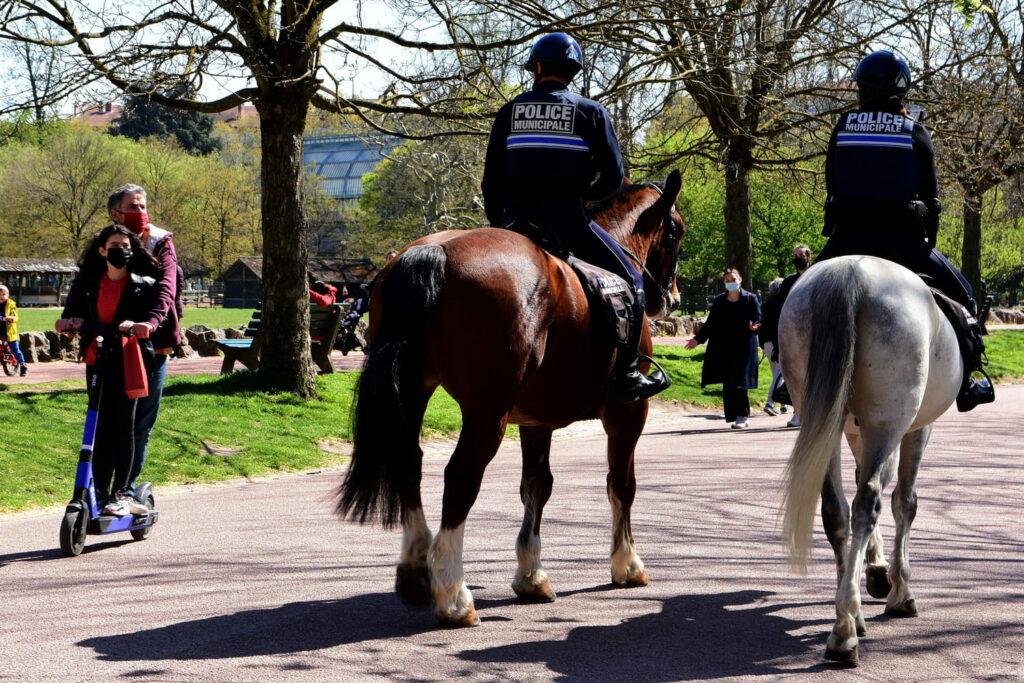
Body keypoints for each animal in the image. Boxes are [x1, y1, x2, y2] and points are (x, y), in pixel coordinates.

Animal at [339, 169, 684, 626]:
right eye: (677, 231)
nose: (672, 298)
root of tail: (433, 250)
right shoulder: (628, 412)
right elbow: (621, 485)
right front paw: (626, 564)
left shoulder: (536, 420)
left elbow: (537, 485)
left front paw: (532, 576)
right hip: (489, 413)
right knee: (460, 478)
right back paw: (453, 593)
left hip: (415, 391)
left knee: (408, 463)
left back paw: (416, 570)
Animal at [778, 253, 962, 663]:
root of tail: (851, 271)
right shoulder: (914, 429)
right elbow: (904, 502)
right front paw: (899, 589)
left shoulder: (854, 430)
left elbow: (862, 480)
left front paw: (876, 570)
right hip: (888, 422)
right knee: (869, 501)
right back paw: (846, 628)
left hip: (825, 421)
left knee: (836, 508)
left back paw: (849, 613)